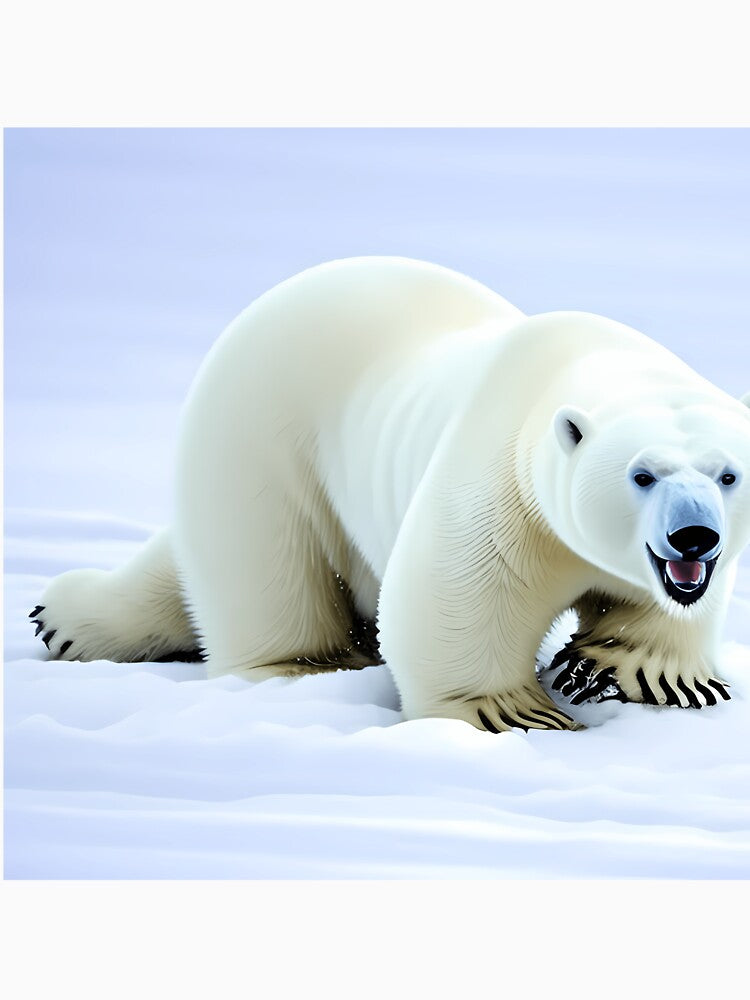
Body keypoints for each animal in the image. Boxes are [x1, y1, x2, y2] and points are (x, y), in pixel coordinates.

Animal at [31, 256, 750, 732]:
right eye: (642, 474)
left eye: (727, 475)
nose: (694, 536)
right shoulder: (503, 484)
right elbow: (455, 592)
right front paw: (511, 711)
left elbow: (657, 617)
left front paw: (640, 673)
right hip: (259, 437)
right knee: (263, 568)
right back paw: (301, 670)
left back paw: (63, 618)